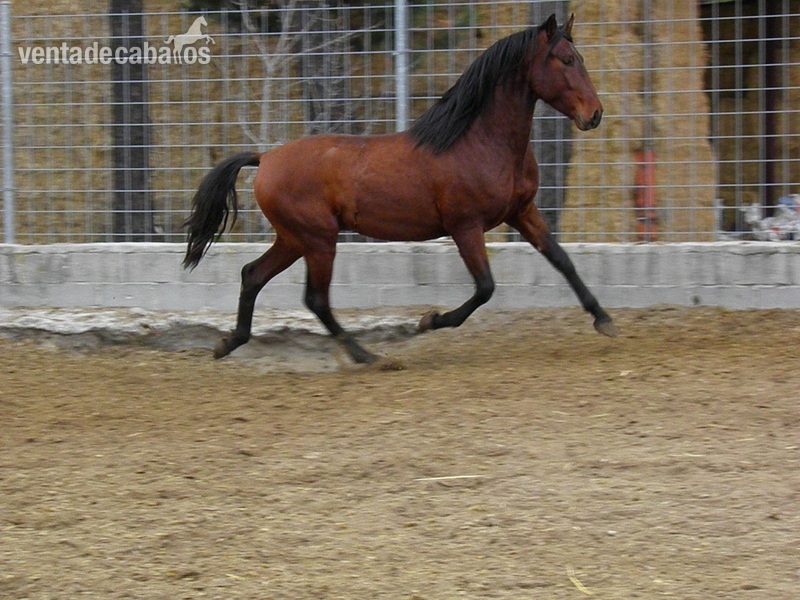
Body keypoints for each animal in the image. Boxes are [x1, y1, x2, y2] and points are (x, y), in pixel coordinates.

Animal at [183, 13, 618, 364]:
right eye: (566, 60)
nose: (595, 115)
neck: (480, 141)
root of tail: (266, 158)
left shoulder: (522, 212)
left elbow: (562, 260)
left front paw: (604, 319)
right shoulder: (465, 226)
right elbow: (485, 288)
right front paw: (428, 321)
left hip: (294, 238)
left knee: (253, 275)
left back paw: (228, 343)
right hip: (318, 239)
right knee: (315, 298)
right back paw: (367, 357)